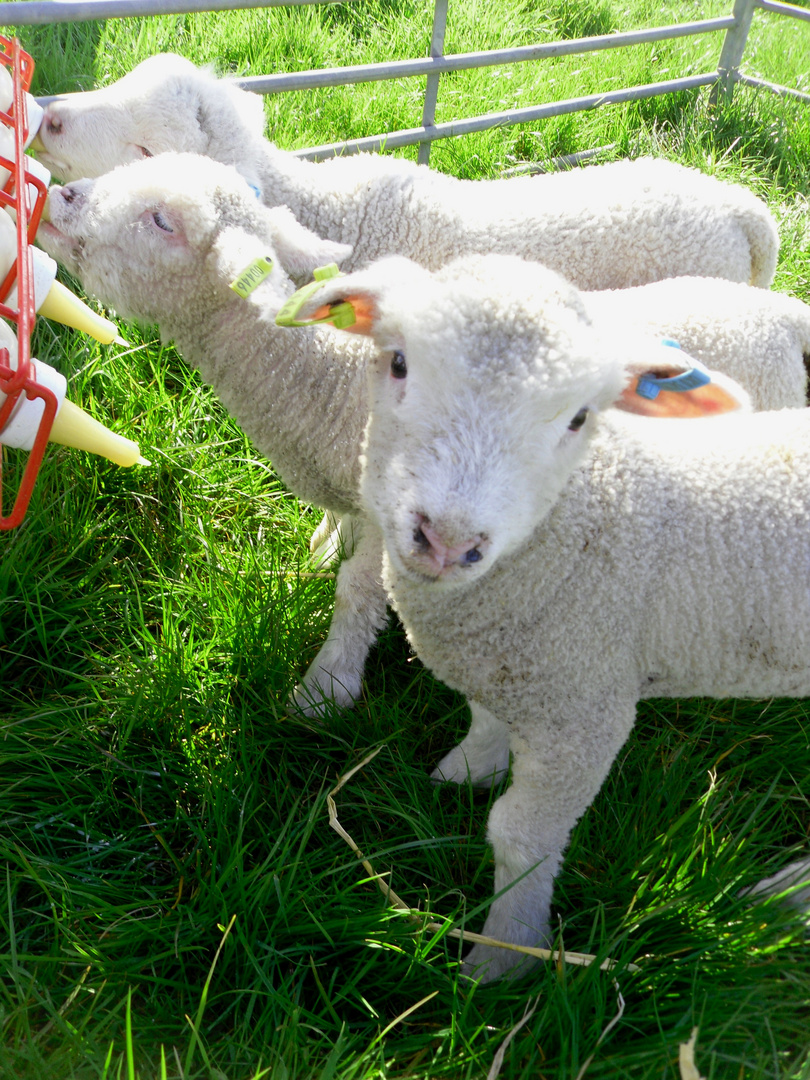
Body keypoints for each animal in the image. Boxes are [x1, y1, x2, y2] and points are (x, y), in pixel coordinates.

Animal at [36, 152, 810, 721]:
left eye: (161, 219)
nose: (61, 196)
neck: (319, 371)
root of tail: (780, 312)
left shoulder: (403, 519)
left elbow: (357, 593)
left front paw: (327, 688)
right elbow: (337, 537)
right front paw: (318, 553)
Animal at [291, 250, 810, 980]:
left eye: (578, 418)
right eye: (397, 363)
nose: (448, 541)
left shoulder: (585, 713)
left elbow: (519, 837)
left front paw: (502, 957)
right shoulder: (510, 659)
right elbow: (483, 719)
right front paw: (466, 772)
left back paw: (787, 894)